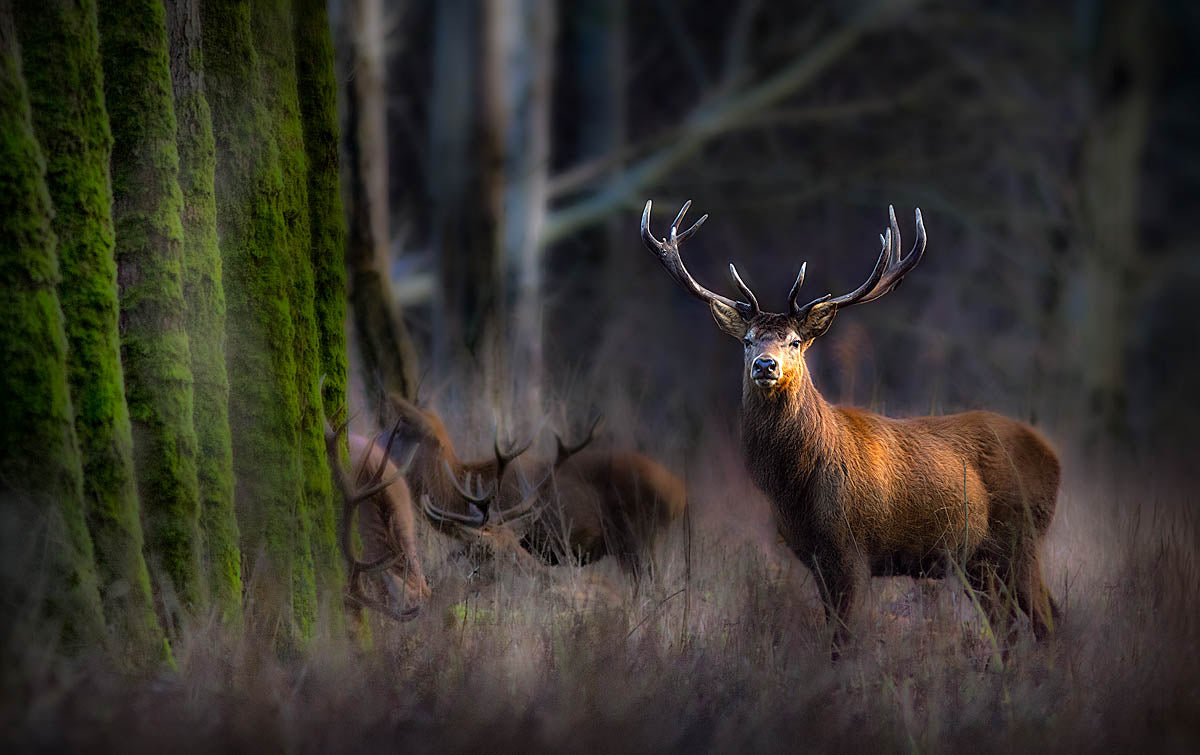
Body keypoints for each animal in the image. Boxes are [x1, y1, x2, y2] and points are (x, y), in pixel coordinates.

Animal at [640, 199, 1061, 655]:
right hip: (978, 562)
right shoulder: (814, 556)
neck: (794, 487)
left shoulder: (852, 547)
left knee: (1045, 618)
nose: (765, 365)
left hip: (1021, 537)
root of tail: (1052, 454)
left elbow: (844, 639)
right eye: (748, 340)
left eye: (794, 341)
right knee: (1011, 624)